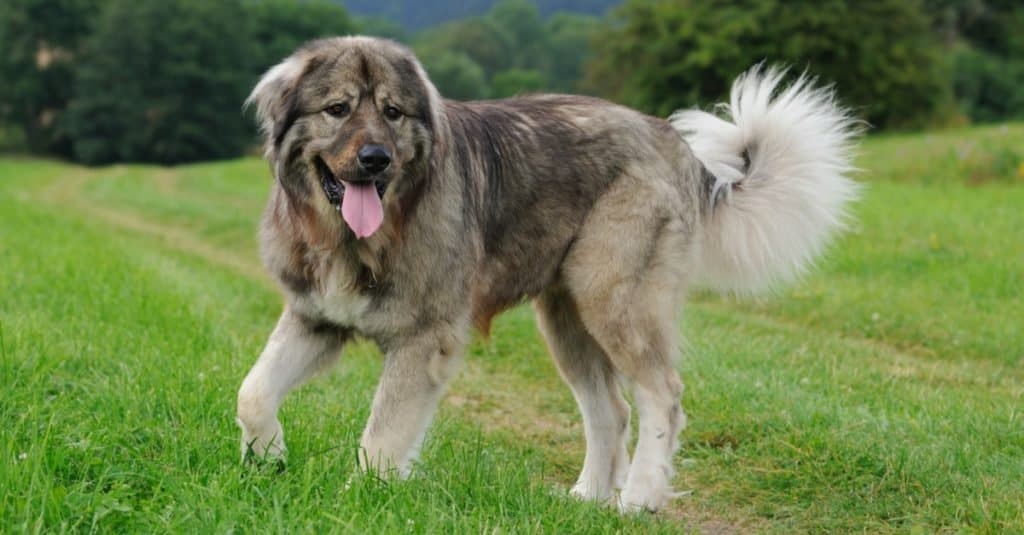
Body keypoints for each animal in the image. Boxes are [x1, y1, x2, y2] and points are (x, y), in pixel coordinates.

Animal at [235, 35, 860, 510]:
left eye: (392, 112)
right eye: (337, 109)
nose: (375, 159)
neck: (354, 239)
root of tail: (674, 145)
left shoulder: (422, 340)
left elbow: (383, 435)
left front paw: (362, 496)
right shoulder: (315, 319)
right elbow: (254, 391)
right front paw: (268, 458)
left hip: (614, 300)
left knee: (662, 393)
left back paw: (639, 498)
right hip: (567, 318)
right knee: (610, 410)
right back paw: (587, 499)